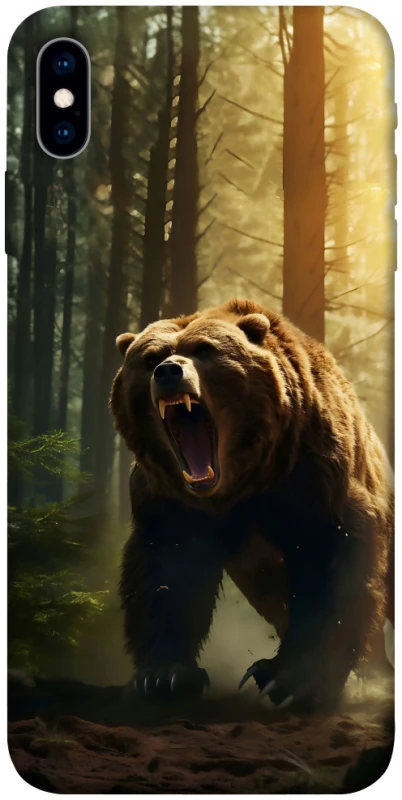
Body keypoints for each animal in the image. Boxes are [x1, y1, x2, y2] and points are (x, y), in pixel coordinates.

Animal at [110, 298, 394, 711]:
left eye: (204, 350)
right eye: (150, 358)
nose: (168, 372)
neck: (239, 484)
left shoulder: (312, 471)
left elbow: (329, 561)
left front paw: (291, 679)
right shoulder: (172, 501)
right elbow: (166, 572)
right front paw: (165, 676)